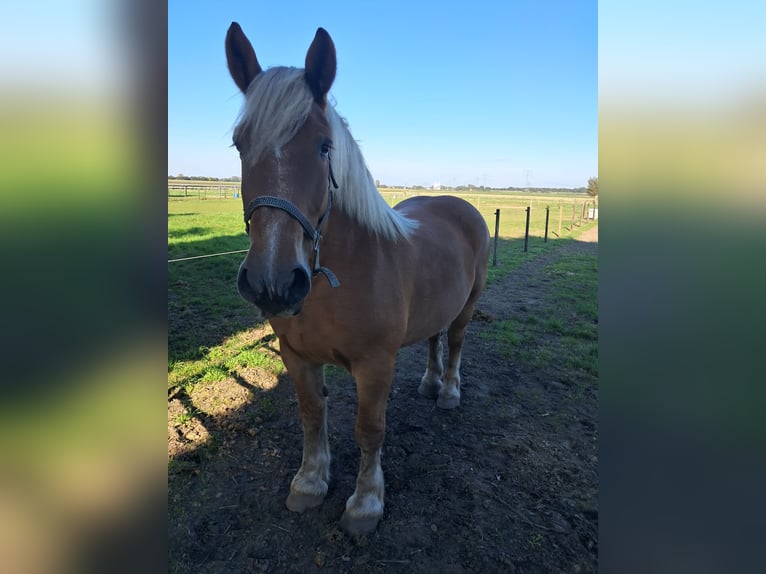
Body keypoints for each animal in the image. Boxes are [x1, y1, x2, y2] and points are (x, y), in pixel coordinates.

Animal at [226, 22, 492, 536]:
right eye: (238, 143)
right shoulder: (297, 357)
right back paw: (429, 383)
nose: (272, 281)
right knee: (433, 339)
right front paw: (310, 483)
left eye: (324, 146)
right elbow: (313, 416)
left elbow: (370, 429)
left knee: (454, 342)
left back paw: (448, 391)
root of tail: (458, 203)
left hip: (468, 304)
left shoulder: (375, 365)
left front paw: (366, 503)